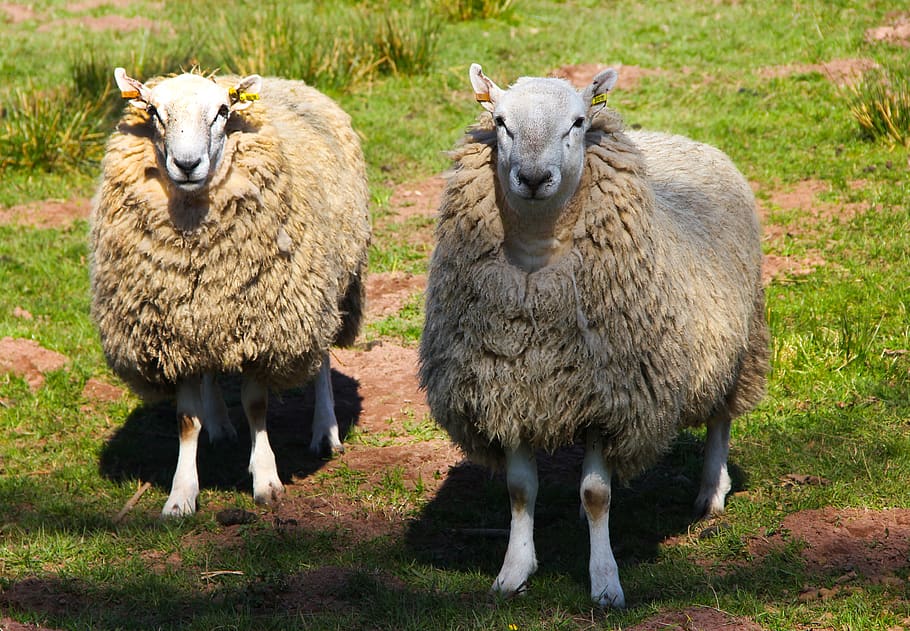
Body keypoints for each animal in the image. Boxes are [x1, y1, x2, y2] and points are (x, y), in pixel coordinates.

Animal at [90, 68, 370, 517]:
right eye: (153, 112)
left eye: (222, 111)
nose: (187, 165)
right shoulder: (174, 334)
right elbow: (187, 419)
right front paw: (181, 495)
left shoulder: (265, 328)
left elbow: (256, 406)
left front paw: (266, 480)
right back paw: (220, 425)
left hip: (325, 286)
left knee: (323, 357)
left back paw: (325, 432)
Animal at [418, 63, 769, 607]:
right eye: (500, 121)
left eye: (578, 122)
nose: (533, 178)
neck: (537, 262)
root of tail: (675, 136)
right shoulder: (507, 388)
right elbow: (521, 489)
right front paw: (513, 571)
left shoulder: (613, 399)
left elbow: (597, 493)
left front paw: (605, 581)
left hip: (738, 342)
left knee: (720, 419)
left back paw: (712, 491)